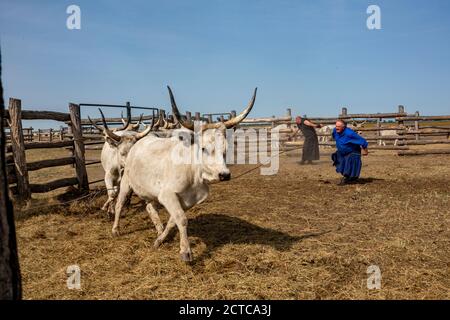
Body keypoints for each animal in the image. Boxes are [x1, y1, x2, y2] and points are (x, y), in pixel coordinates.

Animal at [112, 86, 256, 262]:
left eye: (225, 149)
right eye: (203, 148)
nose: (224, 175)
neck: (194, 176)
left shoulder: (187, 201)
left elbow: (173, 221)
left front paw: (161, 239)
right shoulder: (167, 195)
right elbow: (182, 219)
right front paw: (186, 251)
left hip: (151, 191)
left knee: (150, 207)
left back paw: (159, 230)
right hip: (126, 182)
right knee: (119, 204)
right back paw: (115, 229)